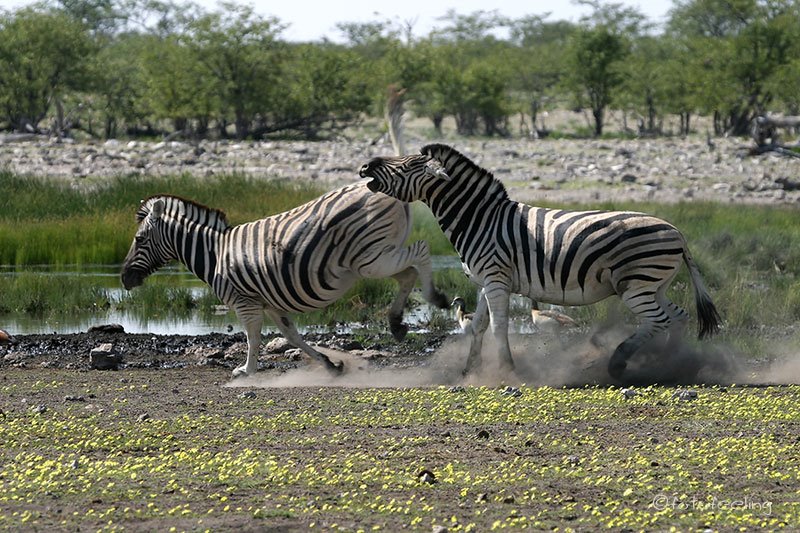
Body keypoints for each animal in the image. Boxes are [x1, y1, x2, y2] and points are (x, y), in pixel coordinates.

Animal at [122, 183, 454, 378]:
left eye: (139, 240)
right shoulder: (270, 303)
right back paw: (397, 323)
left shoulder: (245, 302)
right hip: (375, 258)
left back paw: (435, 297)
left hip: (371, 258)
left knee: (422, 252)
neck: (215, 253)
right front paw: (331, 365)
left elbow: (253, 337)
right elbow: (292, 335)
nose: (124, 279)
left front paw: (246, 370)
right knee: (408, 273)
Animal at [360, 143, 720, 380]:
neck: (479, 219)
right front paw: (468, 370)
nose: (364, 167)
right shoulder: (484, 281)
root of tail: (677, 232)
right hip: (654, 284)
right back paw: (672, 364)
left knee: (659, 320)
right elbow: (478, 327)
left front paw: (507, 370)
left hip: (637, 285)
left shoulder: (496, 278)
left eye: (409, 164)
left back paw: (621, 362)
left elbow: (498, 327)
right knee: (678, 316)